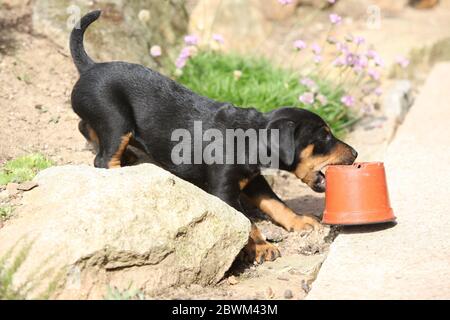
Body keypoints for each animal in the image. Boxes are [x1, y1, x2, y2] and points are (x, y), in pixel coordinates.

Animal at [71, 11, 358, 264]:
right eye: (324, 136)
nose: (355, 154)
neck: (251, 138)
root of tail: (90, 66)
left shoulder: (254, 180)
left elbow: (276, 203)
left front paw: (300, 221)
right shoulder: (224, 191)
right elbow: (248, 222)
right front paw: (262, 247)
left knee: (84, 126)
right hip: (116, 121)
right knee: (103, 158)